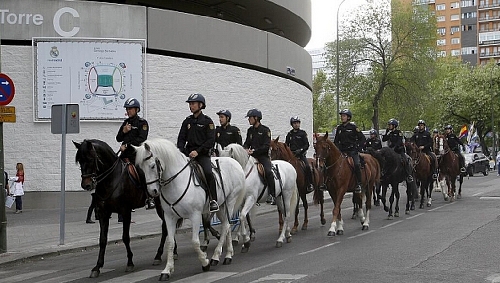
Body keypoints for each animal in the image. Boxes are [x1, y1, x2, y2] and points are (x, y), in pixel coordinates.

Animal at [72, 139, 173, 278]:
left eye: (91, 158)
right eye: (80, 161)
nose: (86, 185)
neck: (111, 179)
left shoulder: (125, 211)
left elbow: (125, 237)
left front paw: (130, 263)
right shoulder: (103, 213)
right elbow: (102, 240)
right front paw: (97, 267)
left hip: (160, 206)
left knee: (166, 227)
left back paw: (159, 255)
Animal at [135, 139, 246, 282]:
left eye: (153, 166)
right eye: (141, 168)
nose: (152, 191)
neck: (176, 182)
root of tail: (234, 162)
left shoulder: (195, 216)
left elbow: (194, 242)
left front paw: (205, 263)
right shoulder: (169, 217)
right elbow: (170, 243)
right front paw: (167, 270)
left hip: (231, 200)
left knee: (226, 225)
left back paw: (216, 257)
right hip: (221, 206)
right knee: (226, 226)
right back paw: (228, 254)